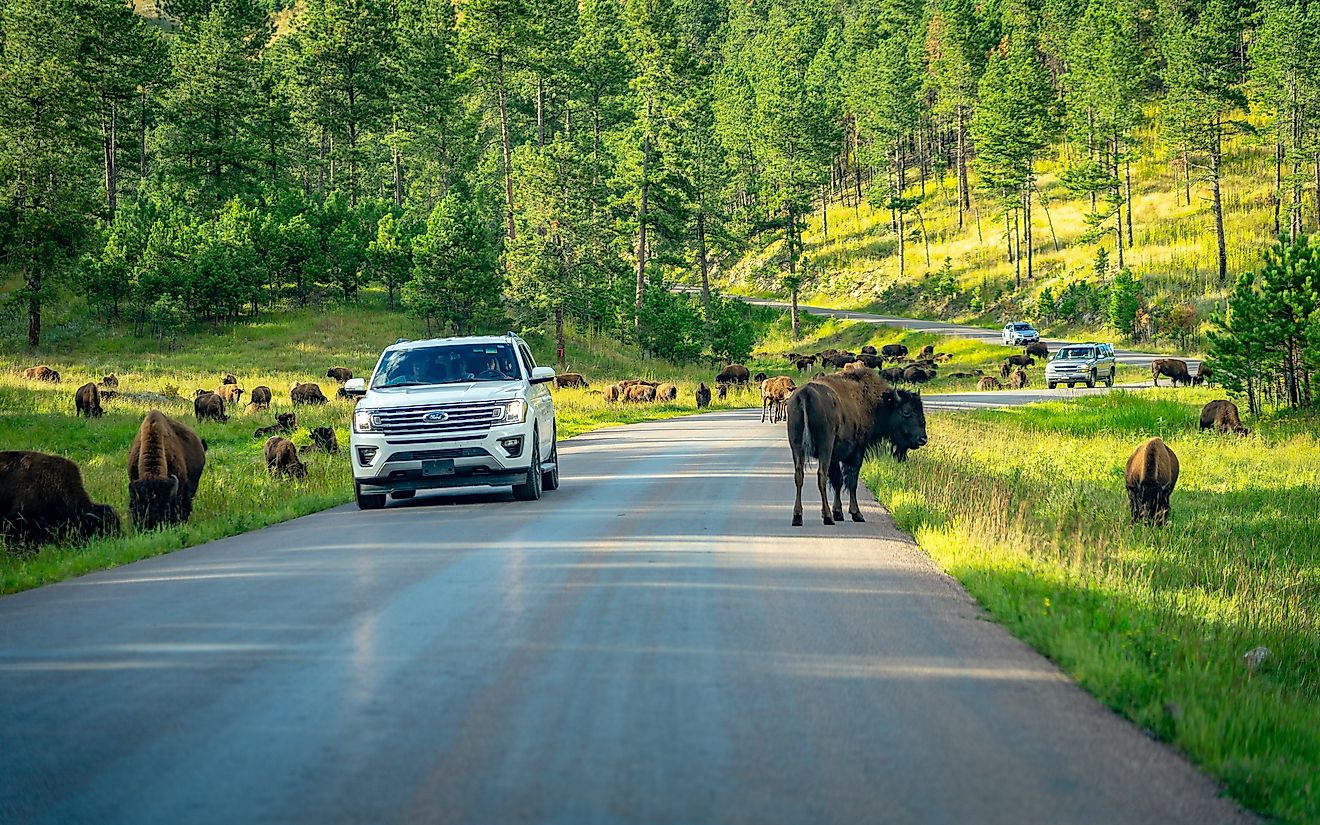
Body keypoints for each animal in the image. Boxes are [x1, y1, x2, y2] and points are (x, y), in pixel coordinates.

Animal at [781, 369, 929, 525]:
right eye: (906, 411)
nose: (922, 439)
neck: (875, 403)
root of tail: (805, 394)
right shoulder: (857, 452)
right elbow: (852, 481)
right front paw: (856, 513)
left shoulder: (835, 457)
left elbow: (838, 481)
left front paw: (838, 512)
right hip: (824, 446)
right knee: (821, 475)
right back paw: (827, 517)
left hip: (797, 446)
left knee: (799, 475)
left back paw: (798, 517)